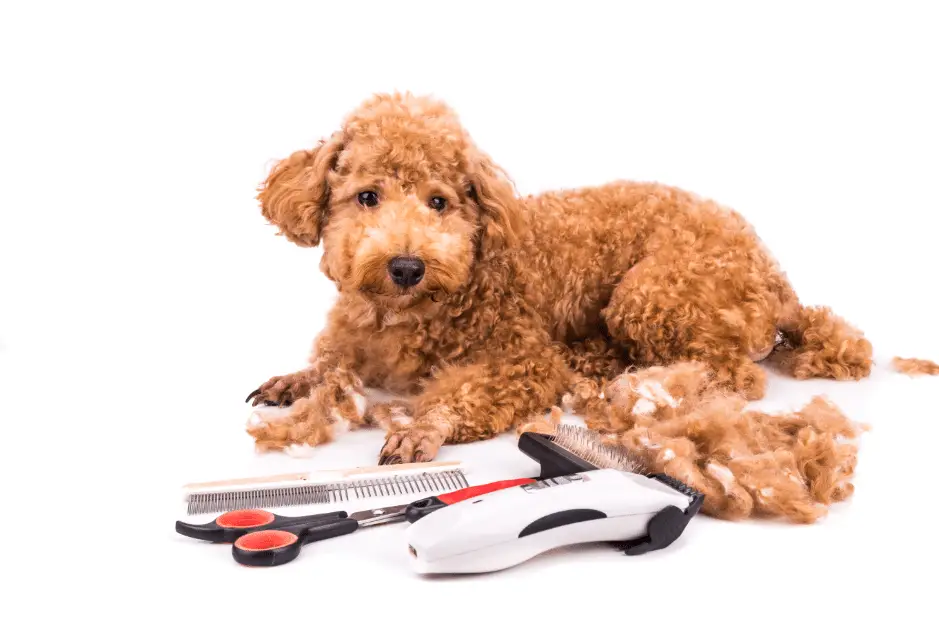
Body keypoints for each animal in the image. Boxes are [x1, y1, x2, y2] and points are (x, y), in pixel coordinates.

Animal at [244, 93, 872, 466]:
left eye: (439, 202)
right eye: (367, 197)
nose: (406, 265)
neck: (407, 311)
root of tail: (775, 276)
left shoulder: (523, 360)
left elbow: (464, 393)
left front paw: (421, 427)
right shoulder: (353, 338)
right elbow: (330, 364)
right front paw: (295, 381)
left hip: (650, 293)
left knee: (734, 374)